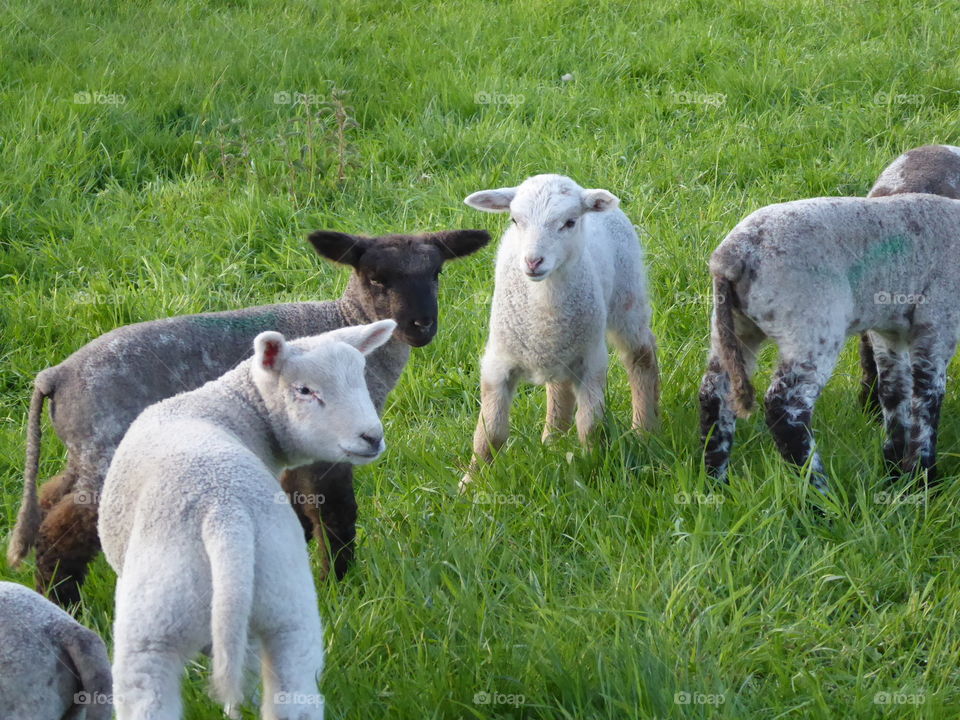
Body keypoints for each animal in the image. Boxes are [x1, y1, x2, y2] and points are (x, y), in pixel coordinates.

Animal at [98, 320, 398, 720]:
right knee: (294, 694)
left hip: (154, 620)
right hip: (287, 604)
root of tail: (226, 516)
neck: (230, 407)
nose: (372, 437)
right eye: (304, 390)